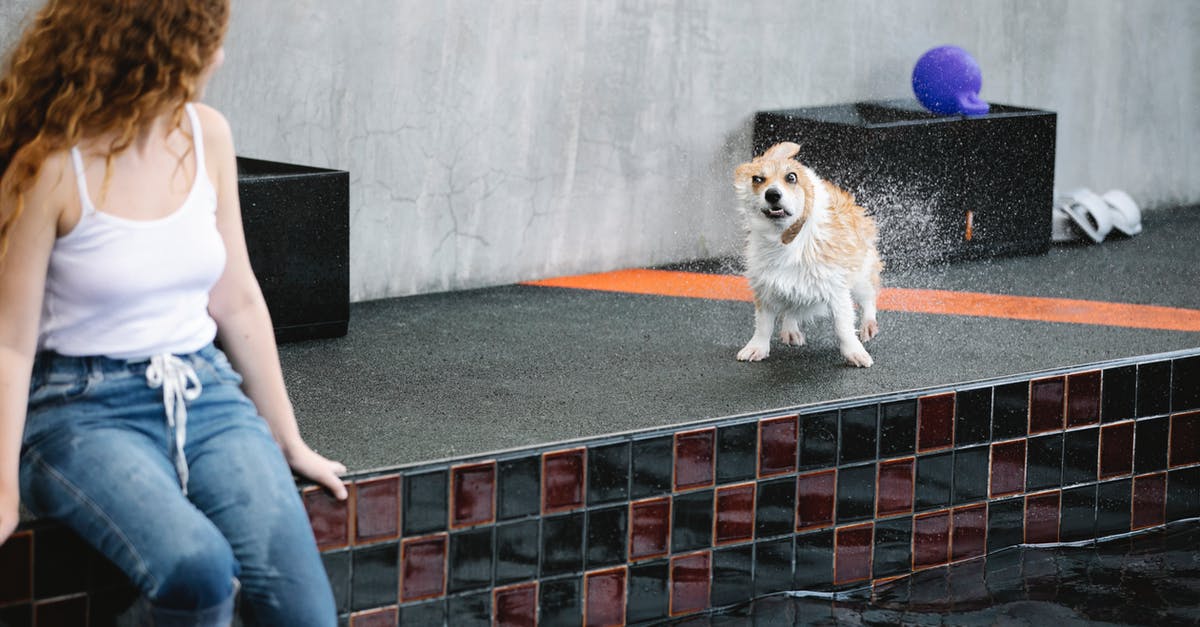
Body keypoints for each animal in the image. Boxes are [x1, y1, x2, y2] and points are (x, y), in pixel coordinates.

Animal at [729, 141, 883, 365]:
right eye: (757, 179)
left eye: (791, 177)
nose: (772, 194)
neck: (786, 241)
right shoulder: (765, 287)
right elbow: (763, 324)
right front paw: (756, 347)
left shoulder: (836, 288)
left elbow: (843, 326)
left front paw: (855, 352)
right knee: (791, 310)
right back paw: (791, 330)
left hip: (861, 273)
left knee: (868, 297)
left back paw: (868, 324)